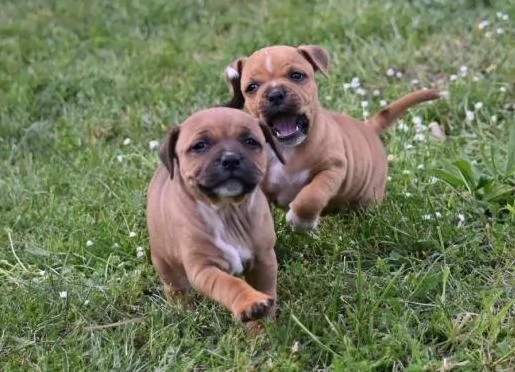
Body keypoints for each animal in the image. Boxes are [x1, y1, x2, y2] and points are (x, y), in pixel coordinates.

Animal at [147, 106, 284, 324]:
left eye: (250, 141)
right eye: (200, 146)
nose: (231, 159)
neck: (227, 211)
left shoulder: (264, 260)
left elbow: (266, 290)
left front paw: (263, 326)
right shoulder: (204, 268)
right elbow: (229, 284)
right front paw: (249, 303)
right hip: (164, 261)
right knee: (175, 287)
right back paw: (183, 310)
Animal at [221, 45, 444, 232]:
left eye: (296, 75)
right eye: (252, 87)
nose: (275, 94)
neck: (288, 148)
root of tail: (368, 128)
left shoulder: (332, 169)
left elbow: (311, 196)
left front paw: (301, 222)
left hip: (369, 195)